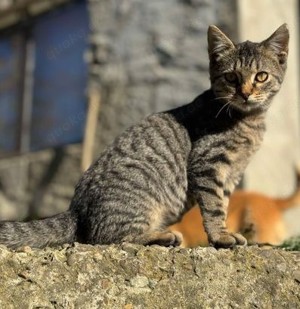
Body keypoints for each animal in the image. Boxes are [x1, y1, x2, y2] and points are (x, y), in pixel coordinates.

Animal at [0, 25, 288, 249]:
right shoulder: (208, 163)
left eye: (261, 76)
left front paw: (226, 231)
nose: (245, 94)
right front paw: (220, 236)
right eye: (231, 77)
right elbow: (214, 206)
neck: (249, 122)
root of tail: (76, 211)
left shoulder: (232, 173)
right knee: (107, 238)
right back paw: (162, 237)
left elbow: (224, 203)